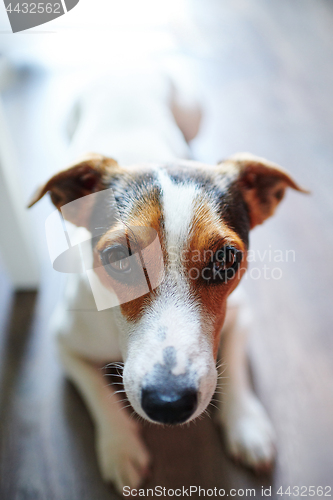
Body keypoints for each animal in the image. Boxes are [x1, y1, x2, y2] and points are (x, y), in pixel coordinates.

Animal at [27, 69, 304, 492]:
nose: (169, 402)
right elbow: (98, 393)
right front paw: (120, 447)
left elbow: (235, 365)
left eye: (226, 260)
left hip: (192, 110)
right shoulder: (64, 342)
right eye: (117, 257)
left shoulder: (241, 312)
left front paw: (247, 425)